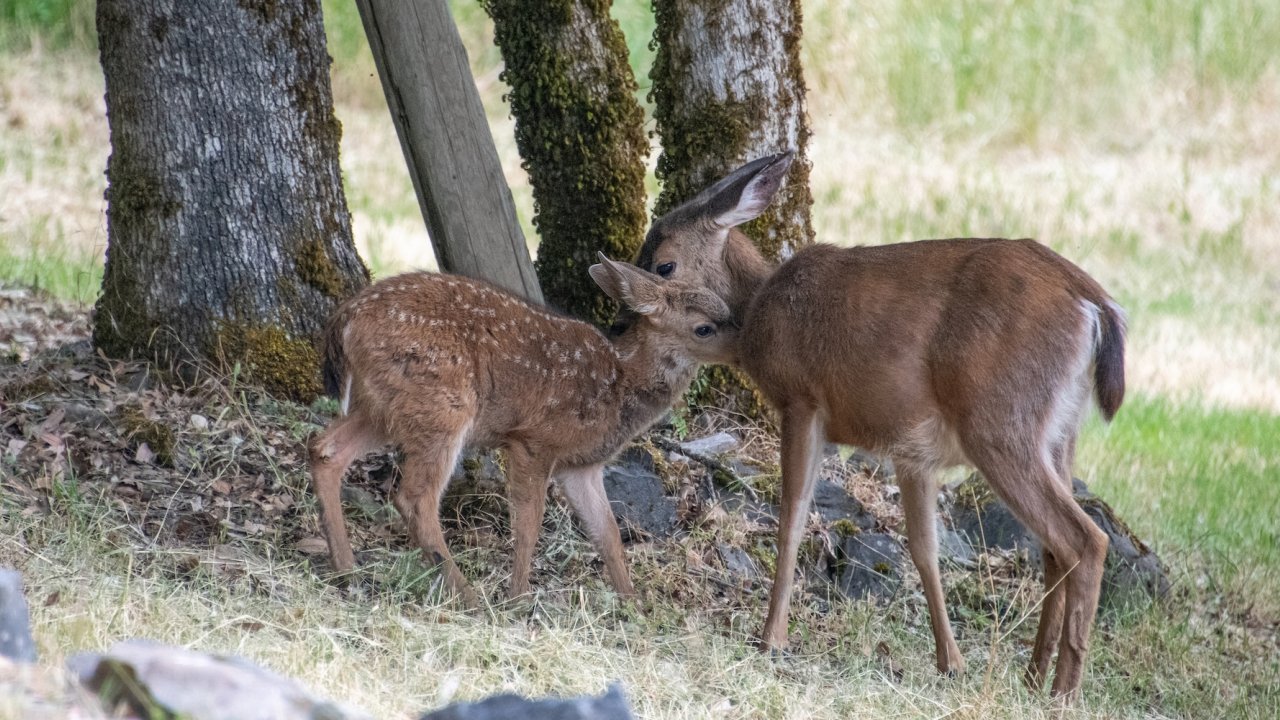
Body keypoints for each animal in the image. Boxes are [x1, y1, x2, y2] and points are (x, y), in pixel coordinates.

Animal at [309, 255, 736, 607]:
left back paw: (347, 569)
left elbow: (608, 533)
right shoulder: (533, 441)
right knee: (414, 498)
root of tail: (343, 321)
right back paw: (468, 596)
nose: (744, 343)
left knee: (326, 450)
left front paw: (633, 604)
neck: (619, 385)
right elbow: (530, 523)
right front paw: (518, 598)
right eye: (704, 328)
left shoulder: (581, 466)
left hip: (383, 406)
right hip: (442, 405)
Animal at [630, 152, 1127, 702]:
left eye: (665, 264)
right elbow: (924, 549)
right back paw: (1033, 677)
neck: (758, 308)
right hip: (1059, 433)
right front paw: (950, 663)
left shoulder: (803, 401)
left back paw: (1063, 692)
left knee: (1084, 540)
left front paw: (771, 638)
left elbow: (792, 519)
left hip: (999, 422)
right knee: (1054, 549)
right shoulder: (911, 450)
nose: (626, 318)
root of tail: (1094, 303)